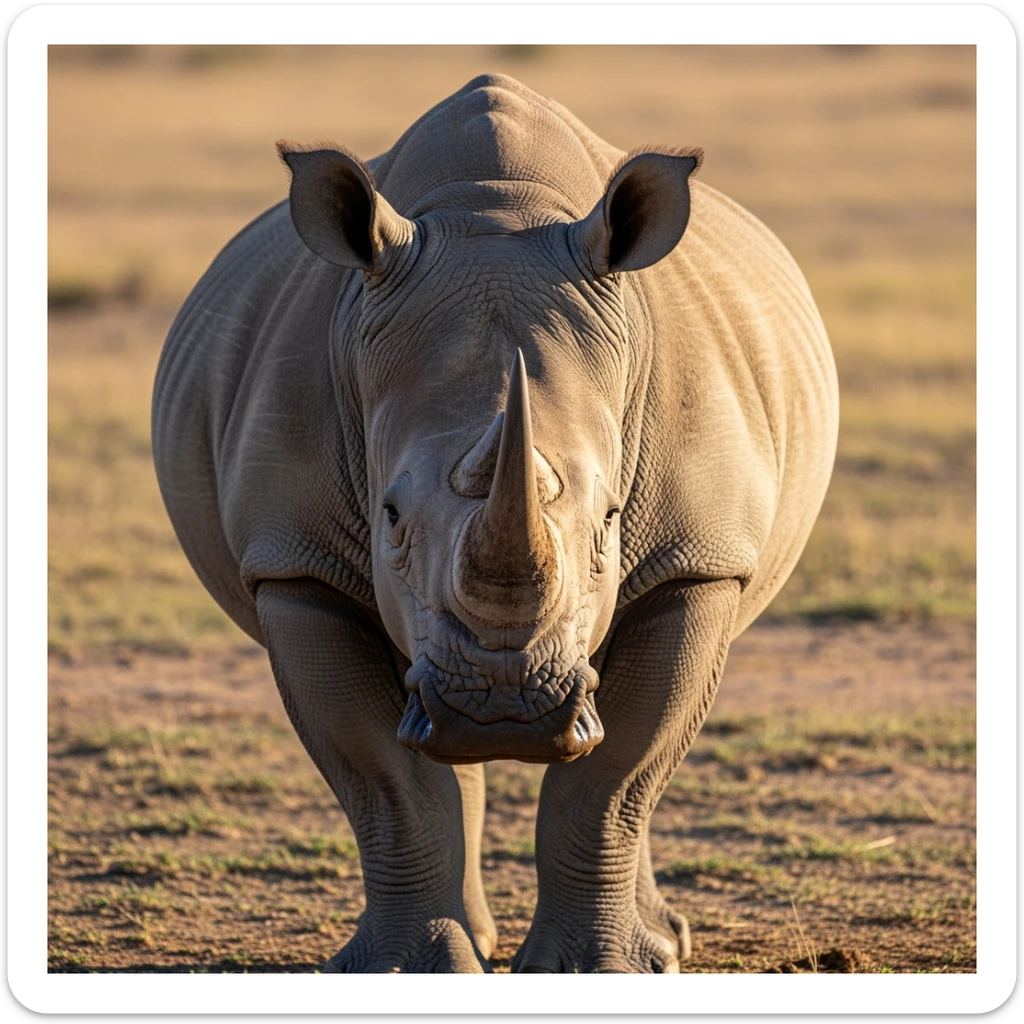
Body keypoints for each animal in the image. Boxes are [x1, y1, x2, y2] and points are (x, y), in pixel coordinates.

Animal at [153, 73, 838, 973]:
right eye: (389, 516)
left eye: (613, 518)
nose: (502, 707)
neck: (498, 213)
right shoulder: (294, 562)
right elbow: (388, 781)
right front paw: (406, 970)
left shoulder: (700, 559)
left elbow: (618, 775)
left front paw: (593, 970)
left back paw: (662, 945)